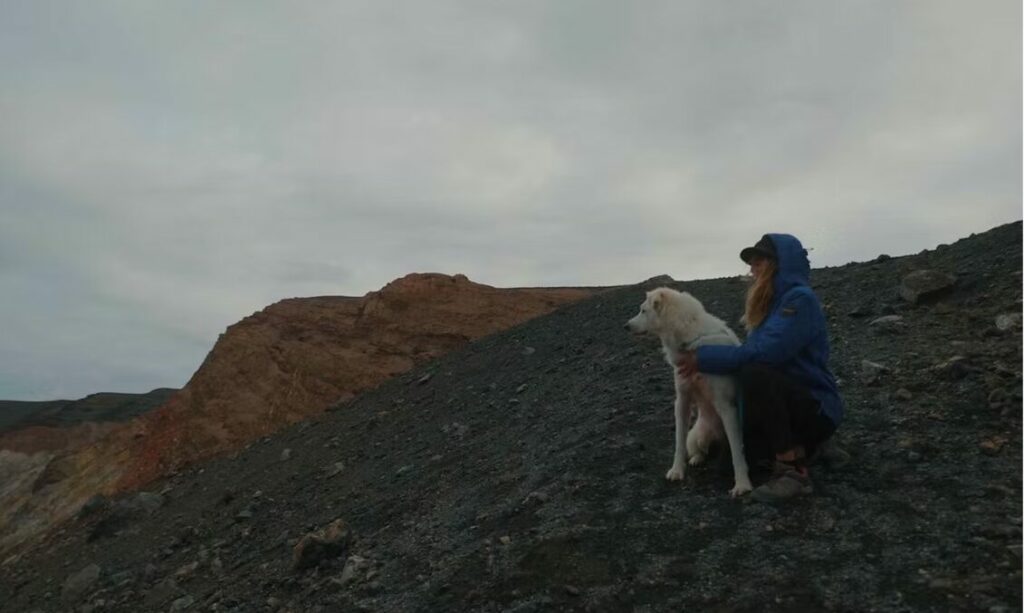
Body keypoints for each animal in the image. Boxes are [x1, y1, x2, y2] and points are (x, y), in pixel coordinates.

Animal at [625, 287, 753, 497]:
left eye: (643, 310)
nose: (626, 326)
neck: (692, 340)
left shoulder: (726, 404)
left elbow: (736, 449)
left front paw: (742, 484)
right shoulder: (682, 399)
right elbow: (679, 441)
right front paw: (676, 470)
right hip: (697, 435)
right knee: (699, 448)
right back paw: (697, 459)